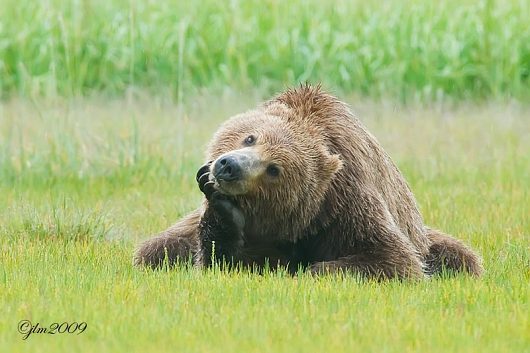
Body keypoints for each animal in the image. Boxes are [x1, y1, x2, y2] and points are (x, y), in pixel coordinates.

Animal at [133, 84, 482, 278]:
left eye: (274, 169)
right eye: (250, 137)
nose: (229, 166)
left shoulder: (346, 202)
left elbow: (392, 258)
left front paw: (311, 269)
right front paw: (223, 211)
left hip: (426, 239)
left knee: (461, 258)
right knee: (158, 248)